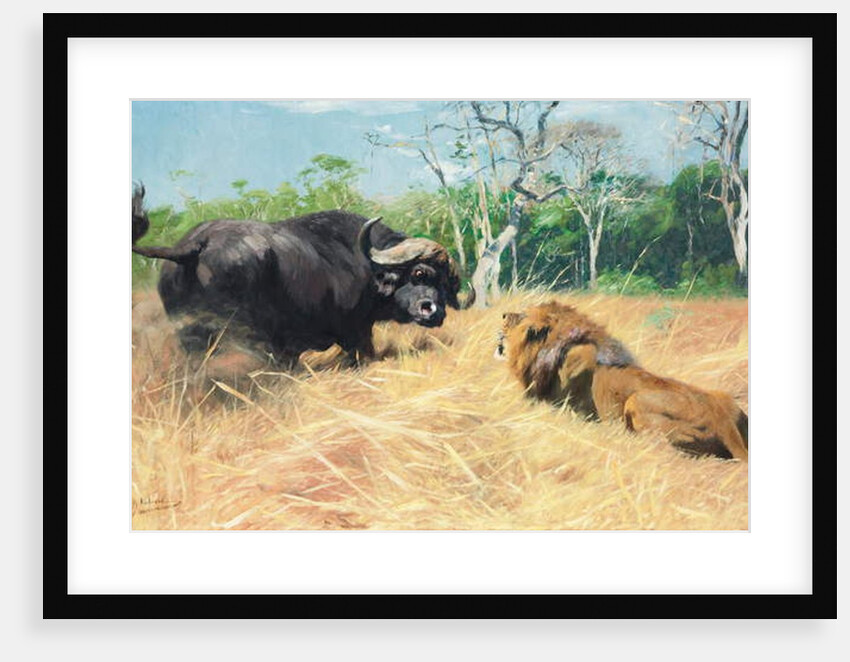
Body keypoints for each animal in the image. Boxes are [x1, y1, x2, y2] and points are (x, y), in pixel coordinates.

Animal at [131, 185, 473, 365]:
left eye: (446, 284)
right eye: (420, 272)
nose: (434, 311)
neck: (368, 265)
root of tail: (196, 244)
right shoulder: (356, 333)